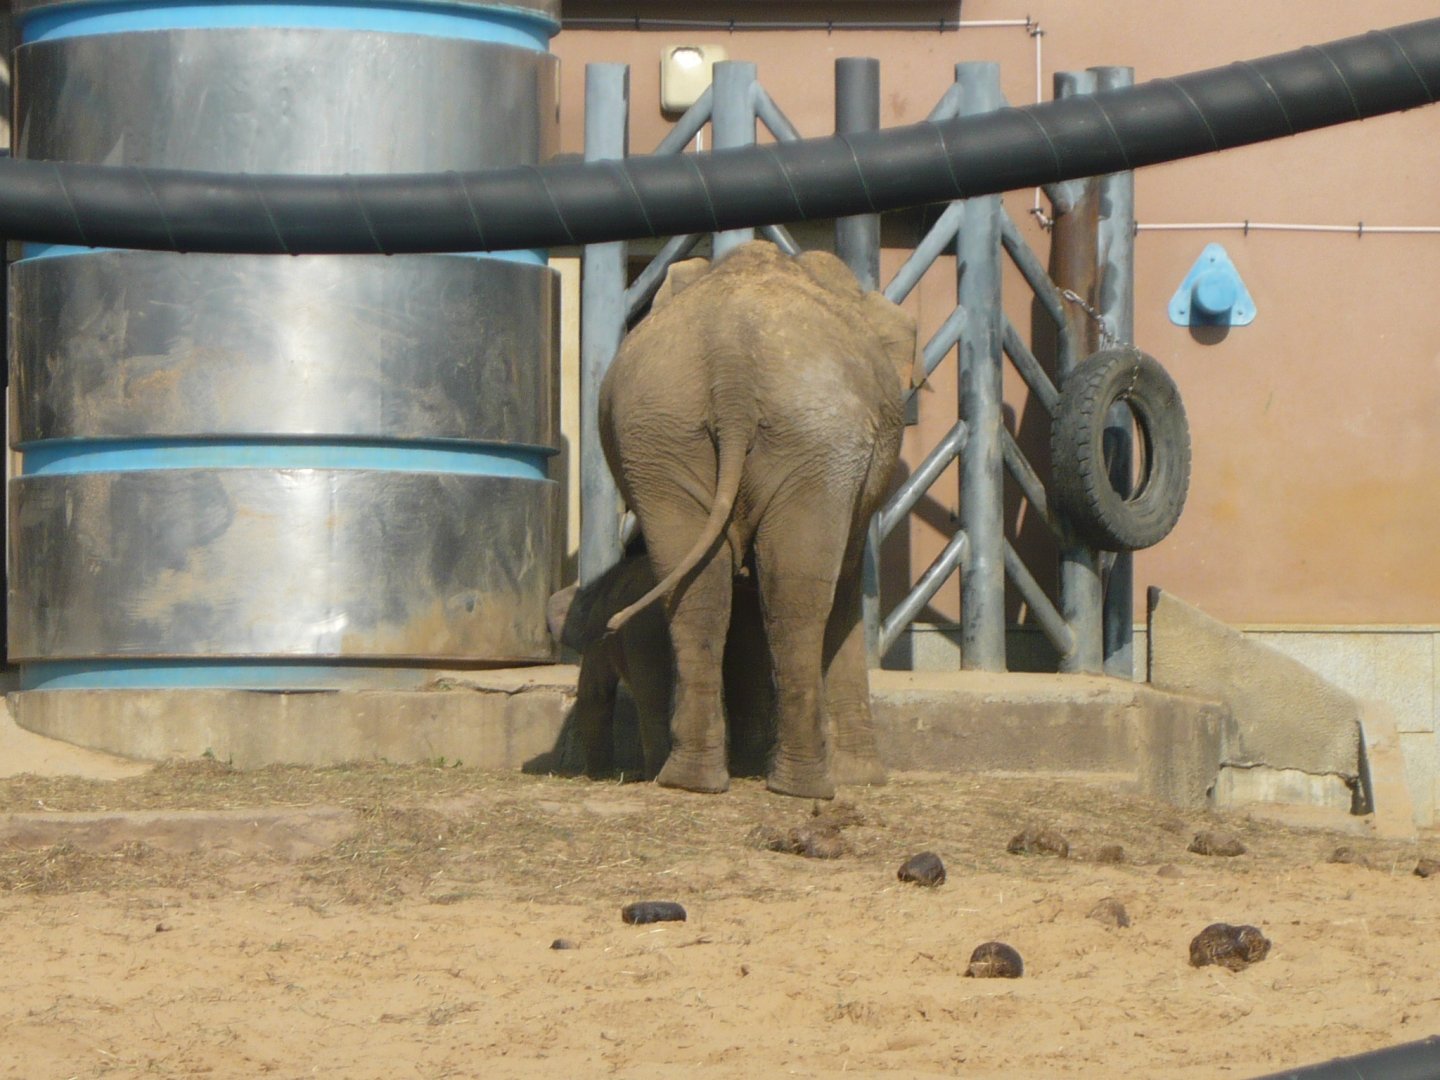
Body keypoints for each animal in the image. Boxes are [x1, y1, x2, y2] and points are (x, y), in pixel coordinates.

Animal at [599, 239, 918, 798]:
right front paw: (863, 779)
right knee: (799, 593)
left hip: (660, 432)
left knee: (700, 591)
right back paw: (806, 786)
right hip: (816, 439)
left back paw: (692, 780)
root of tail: (730, 358)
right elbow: (845, 584)